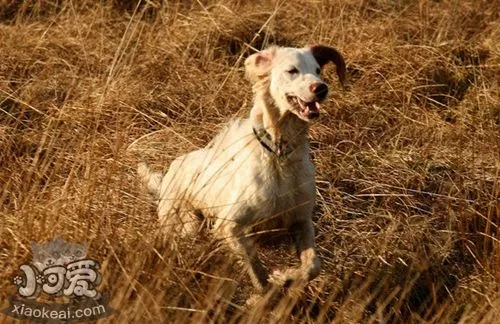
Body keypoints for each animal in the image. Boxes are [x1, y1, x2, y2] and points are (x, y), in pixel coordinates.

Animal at [139, 43, 346, 292]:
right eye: (292, 70)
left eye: (317, 70)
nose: (321, 88)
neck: (279, 155)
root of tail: (170, 172)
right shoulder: (230, 226)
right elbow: (258, 275)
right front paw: (266, 291)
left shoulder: (301, 220)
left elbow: (313, 266)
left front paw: (285, 277)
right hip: (186, 225)